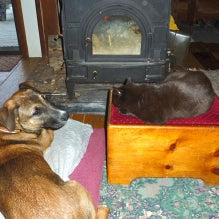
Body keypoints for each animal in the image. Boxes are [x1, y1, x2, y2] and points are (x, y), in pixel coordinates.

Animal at [0, 86, 109, 219]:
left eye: (44, 97)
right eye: (36, 112)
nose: (66, 115)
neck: (8, 129)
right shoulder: (45, 137)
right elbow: (48, 130)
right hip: (75, 185)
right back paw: (103, 208)